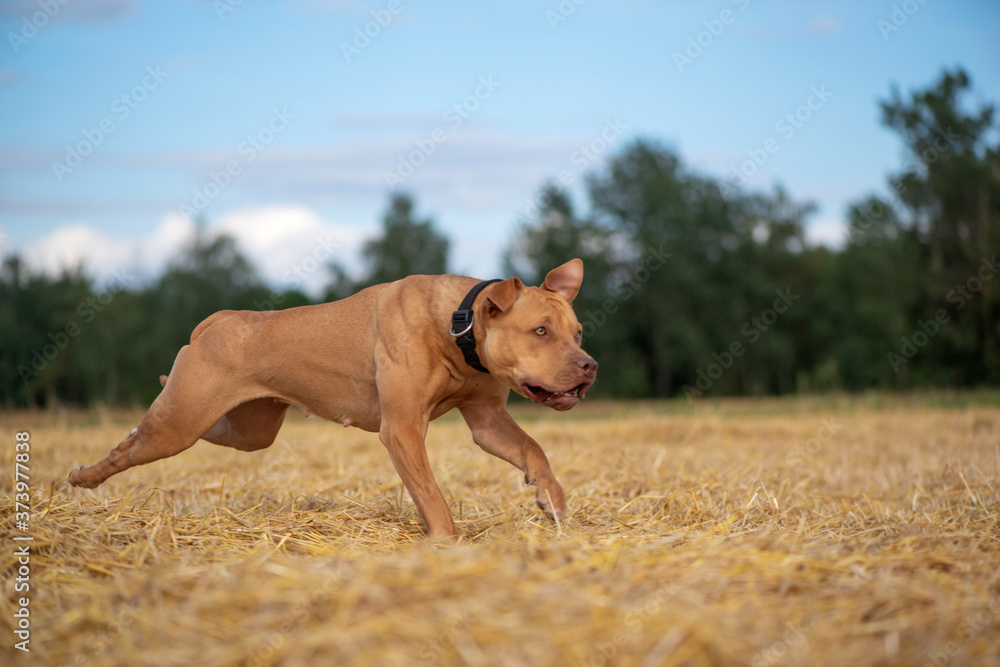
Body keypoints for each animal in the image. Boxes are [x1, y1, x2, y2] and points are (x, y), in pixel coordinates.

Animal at [72, 258, 600, 540]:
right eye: (540, 330)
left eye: (577, 333)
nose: (589, 366)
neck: (458, 325)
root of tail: (218, 320)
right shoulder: (402, 429)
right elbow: (430, 492)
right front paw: (447, 542)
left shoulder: (487, 420)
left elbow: (534, 450)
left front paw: (552, 501)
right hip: (180, 424)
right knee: (132, 447)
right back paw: (83, 476)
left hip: (247, 429)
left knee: (195, 433)